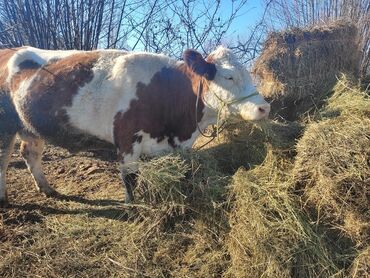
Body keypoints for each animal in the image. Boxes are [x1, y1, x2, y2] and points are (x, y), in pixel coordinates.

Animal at [0, 46, 272, 206]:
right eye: (228, 76)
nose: (264, 108)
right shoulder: (127, 139)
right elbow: (130, 178)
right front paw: (134, 206)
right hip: (5, 126)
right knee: (3, 161)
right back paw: (4, 199)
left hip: (30, 127)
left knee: (30, 154)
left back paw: (47, 189)